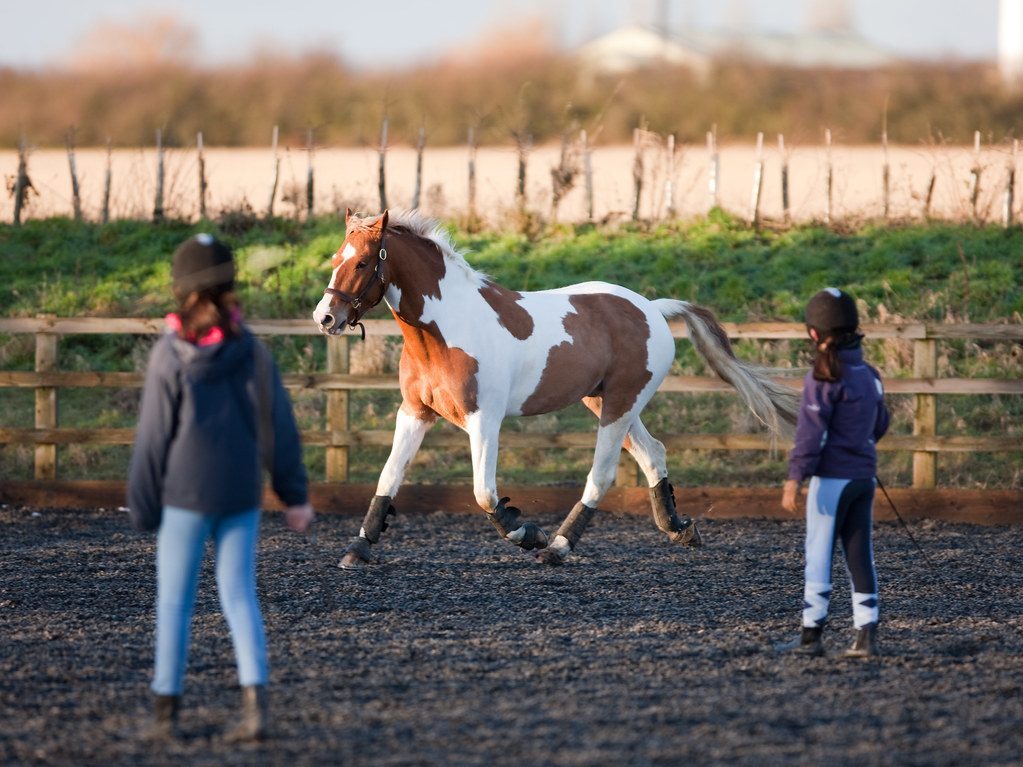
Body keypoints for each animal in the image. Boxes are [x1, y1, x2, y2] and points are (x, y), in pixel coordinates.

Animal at [313, 209, 798, 568]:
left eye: (362, 262)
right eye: (335, 258)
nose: (325, 318)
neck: (445, 329)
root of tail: (652, 308)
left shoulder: (484, 420)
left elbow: (484, 493)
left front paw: (529, 533)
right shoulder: (414, 412)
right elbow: (388, 477)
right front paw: (358, 548)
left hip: (620, 404)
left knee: (602, 475)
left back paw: (558, 547)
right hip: (605, 400)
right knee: (653, 453)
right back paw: (680, 529)